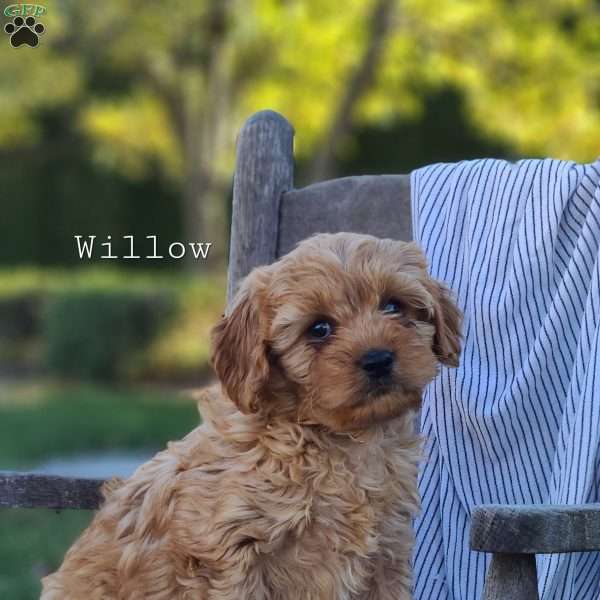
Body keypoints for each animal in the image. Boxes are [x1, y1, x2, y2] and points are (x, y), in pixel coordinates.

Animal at [41, 232, 464, 596]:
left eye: (393, 305)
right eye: (319, 329)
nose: (378, 359)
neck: (339, 442)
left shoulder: (387, 551)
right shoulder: (229, 555)